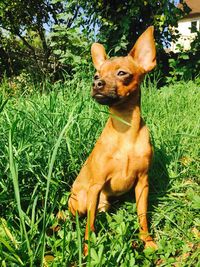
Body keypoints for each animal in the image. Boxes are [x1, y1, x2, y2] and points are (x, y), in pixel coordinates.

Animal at [69, 26, 158, 255]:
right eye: (96, 74)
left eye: (122, 73)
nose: (96, 83)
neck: (125, 130)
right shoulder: (96, 186)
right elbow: (89, 226)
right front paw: (86, 251)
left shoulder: (142, 184)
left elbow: (142, 216)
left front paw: (147, 241)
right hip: (83, 200)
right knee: (76, 217)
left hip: (104, 204)